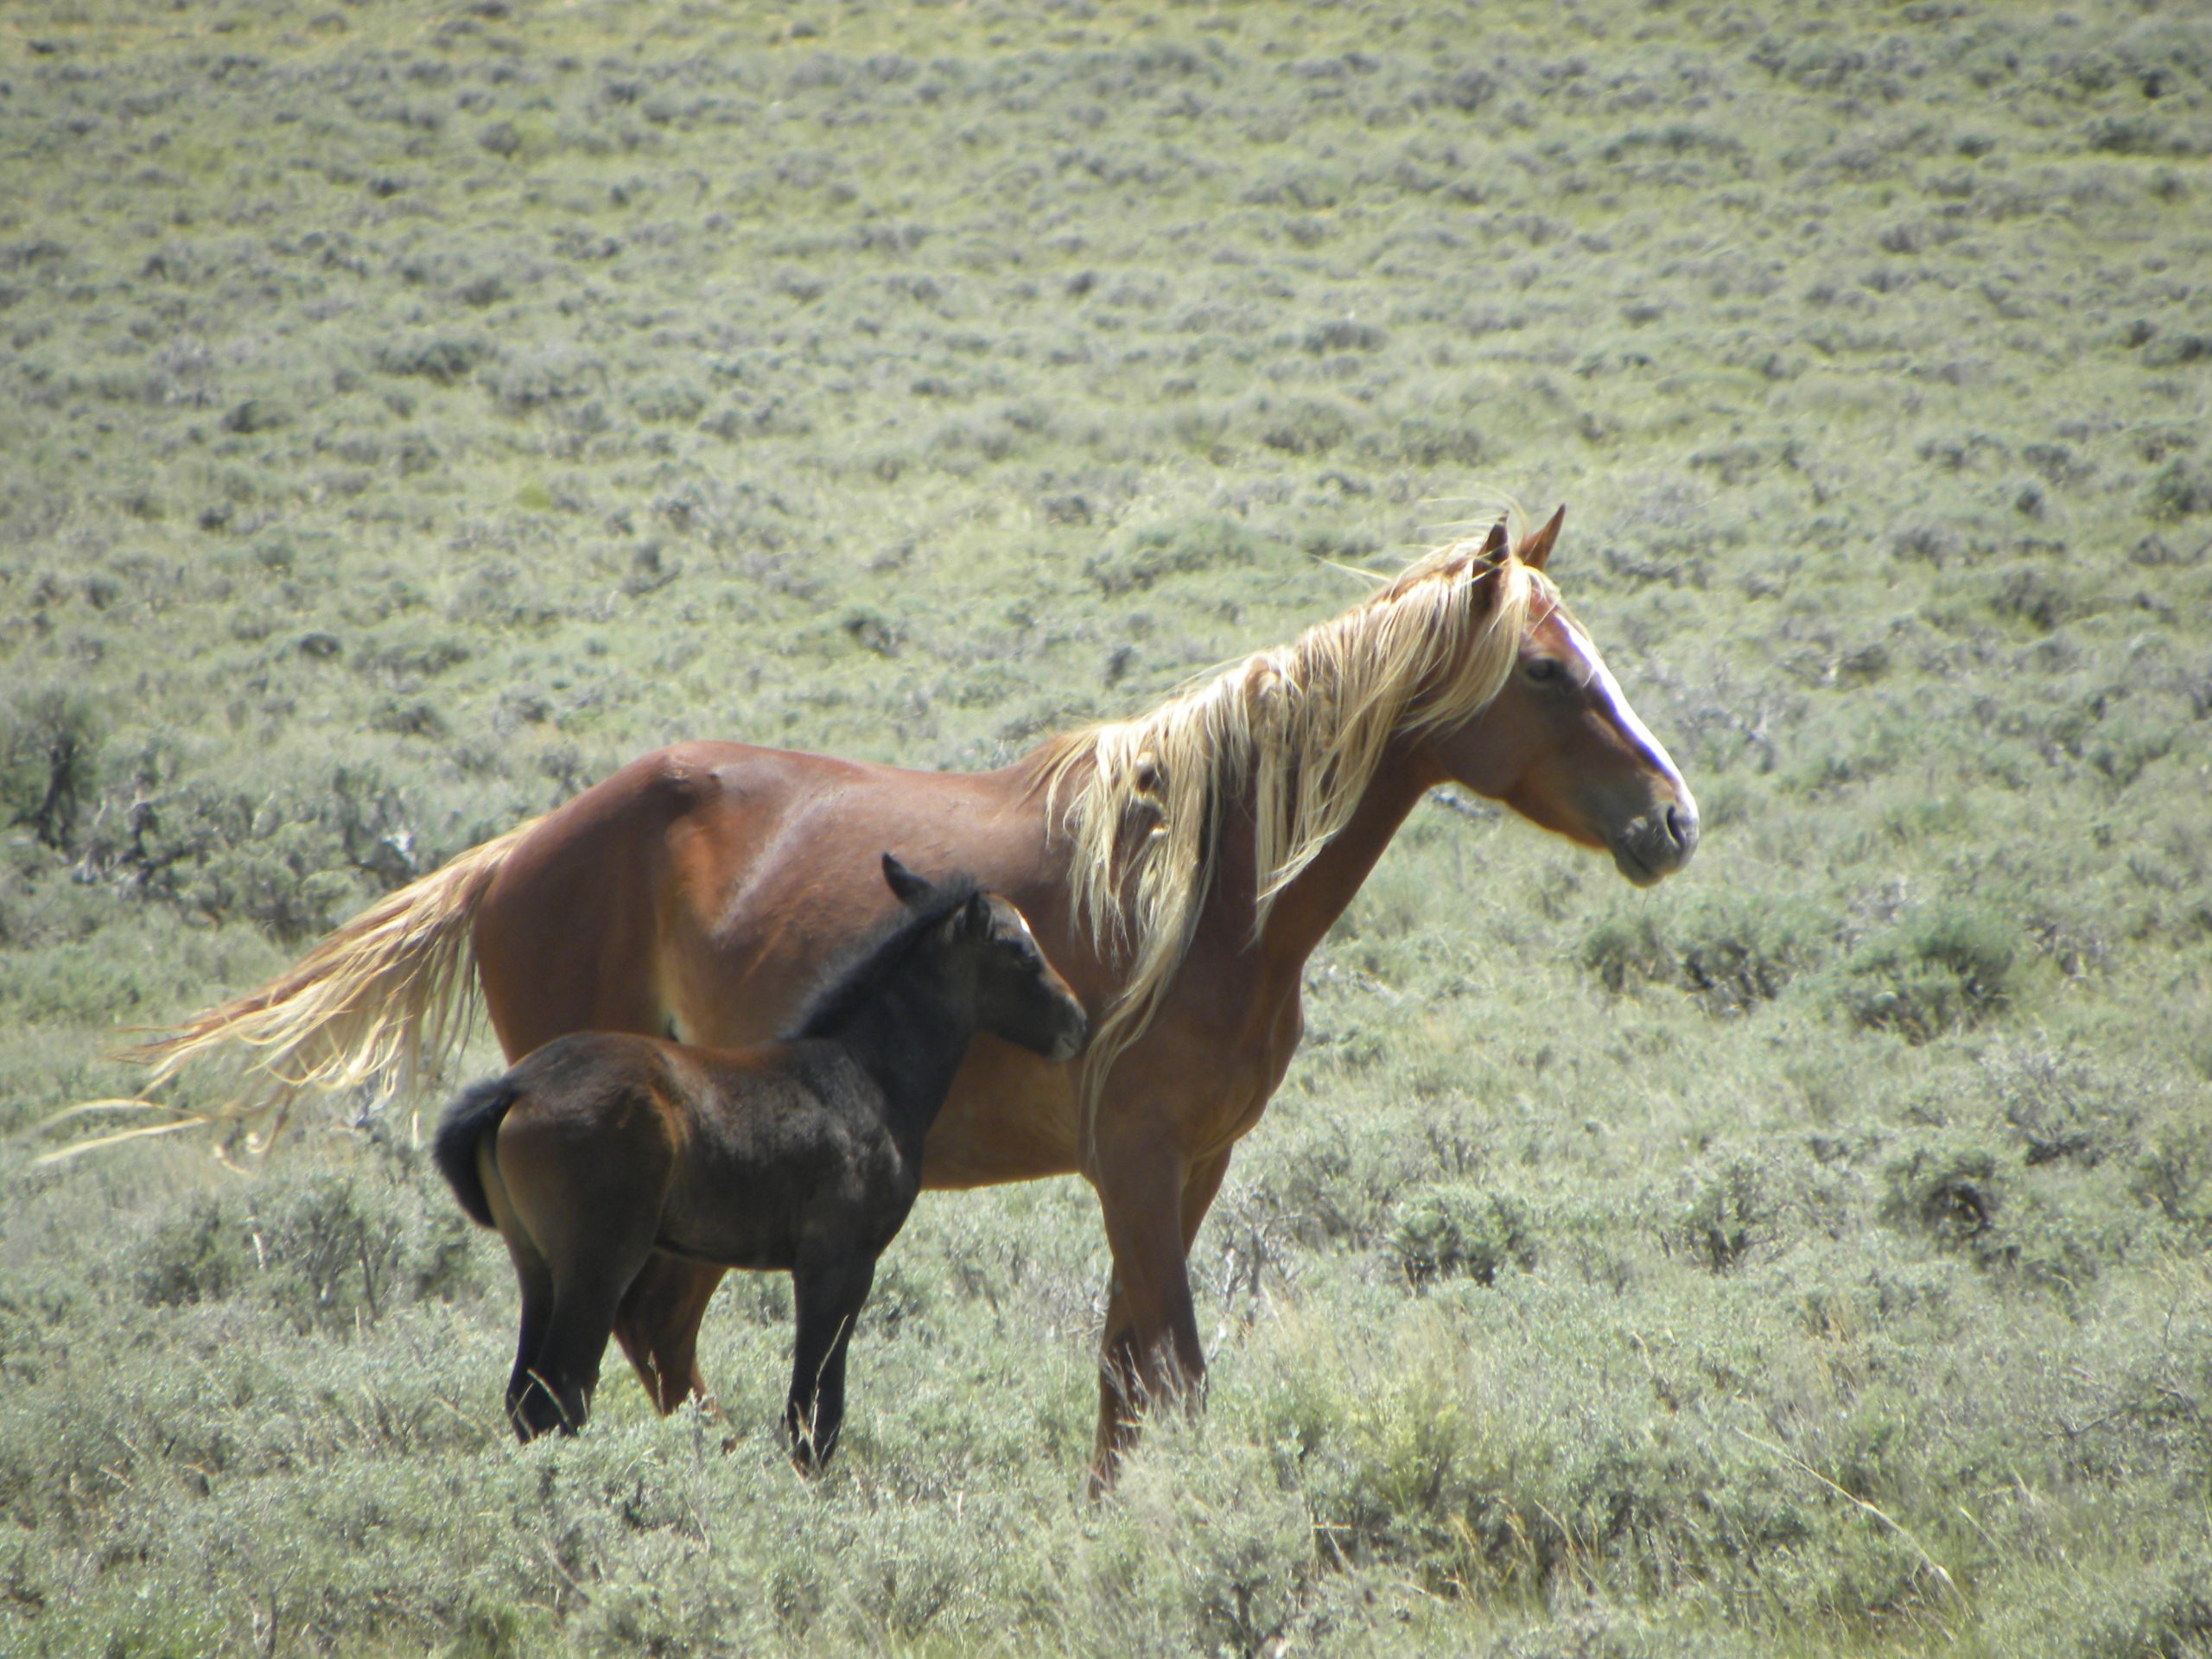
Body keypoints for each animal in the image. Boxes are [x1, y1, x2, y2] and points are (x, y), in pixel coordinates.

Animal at [432, 854, 1088, 1464]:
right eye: (1021, 951)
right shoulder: (839, 1260)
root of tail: (515, 1089)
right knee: (561, 1394)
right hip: (596, 1265)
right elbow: (816, 1409)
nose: (1078, 1022)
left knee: (526, 1396)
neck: (864, 1073)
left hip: (536, 1264)